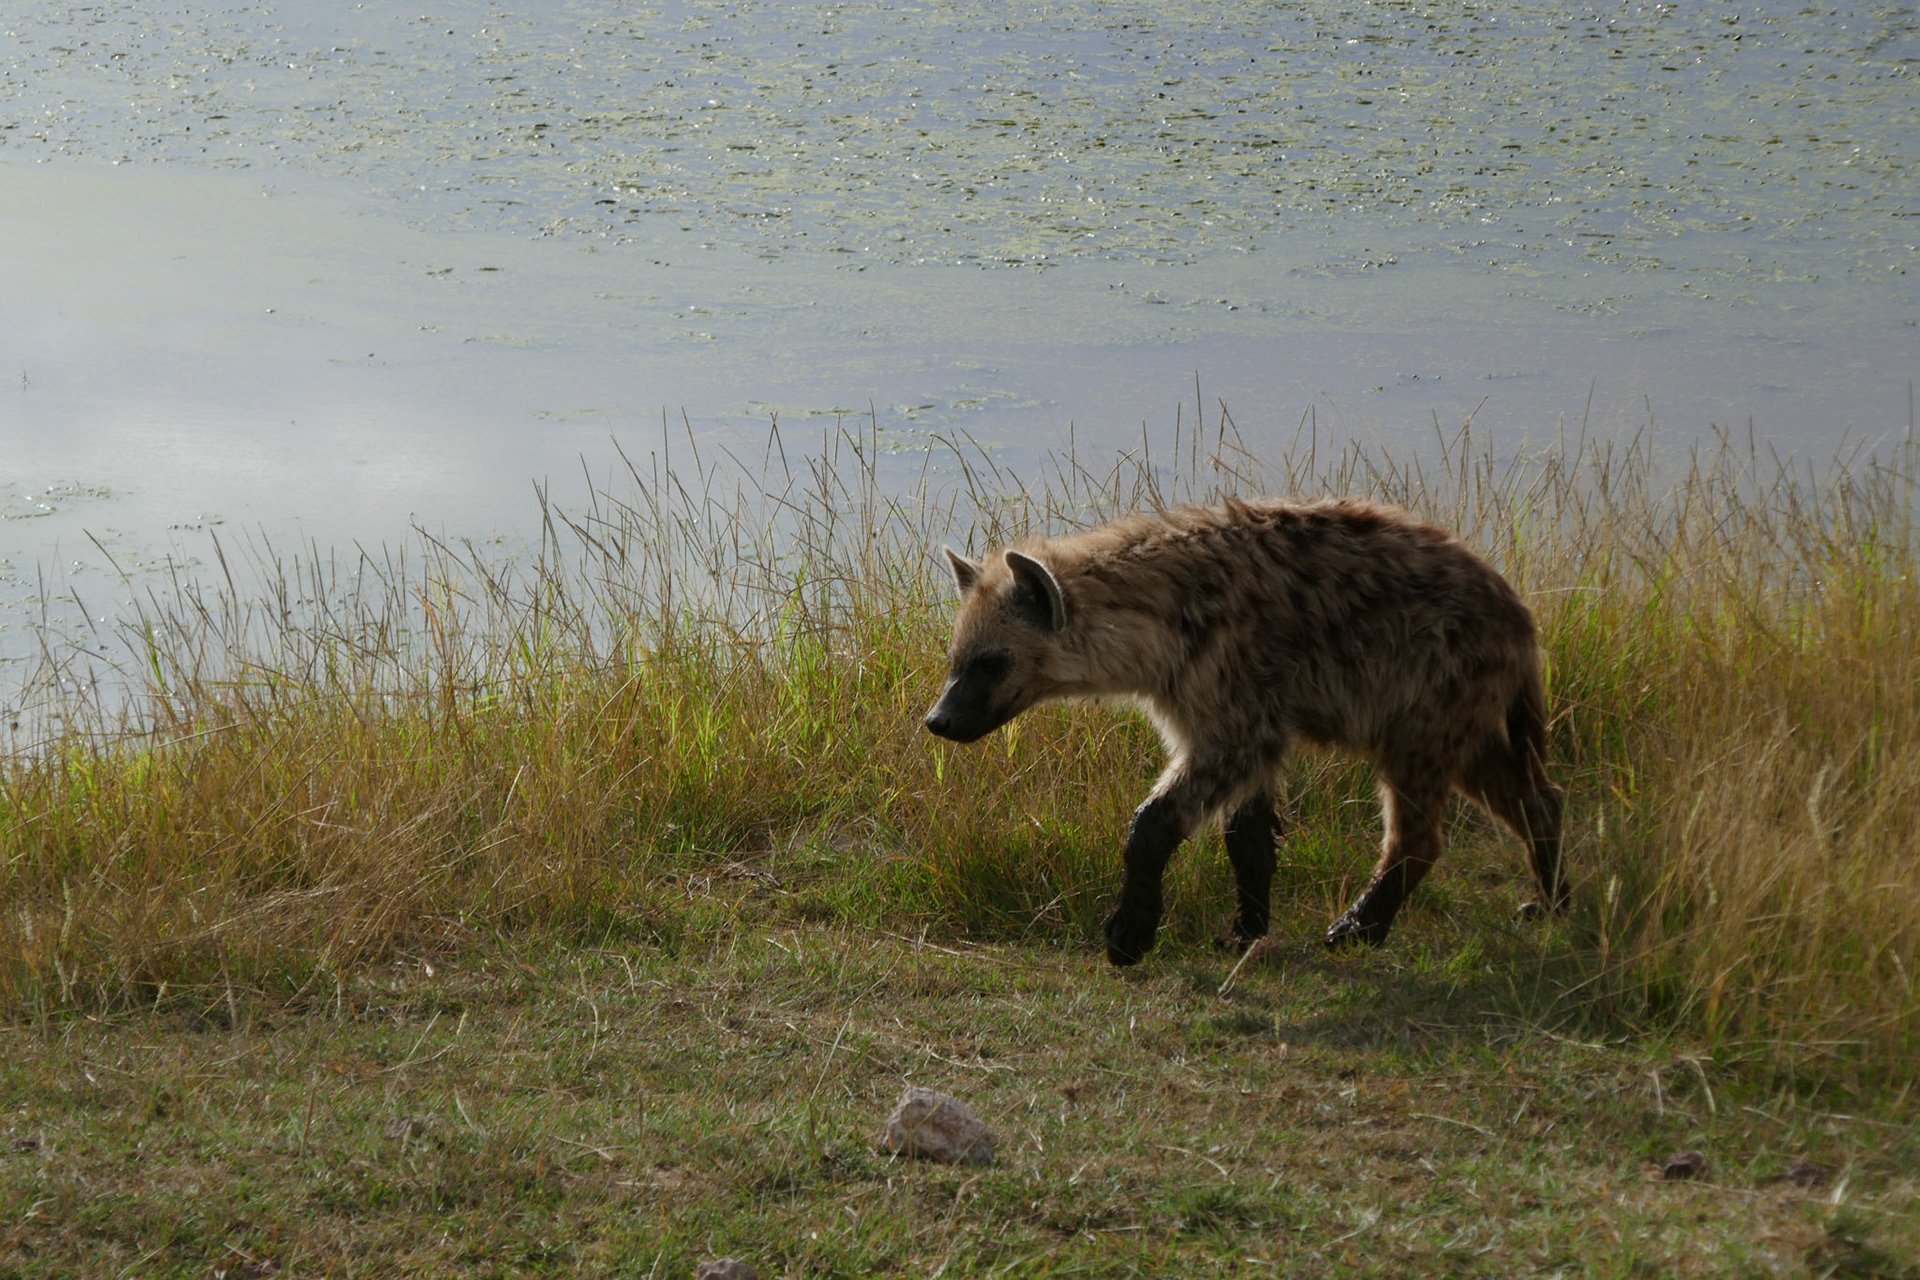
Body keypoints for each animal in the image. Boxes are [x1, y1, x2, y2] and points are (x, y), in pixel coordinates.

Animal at [922, 496, 1566, 966]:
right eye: (954, 659)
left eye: (991, 663)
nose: (938, 721)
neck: (1166, 623)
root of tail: (1521, 618)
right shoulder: (1234, 719)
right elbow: (1246, 839)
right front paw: (1243, 934)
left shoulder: (1236, 718)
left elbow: (1153, 823)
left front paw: (1128, 936)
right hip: (1462, 719)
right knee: (1536, 794)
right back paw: (1548, 902)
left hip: (1426, 708)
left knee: (1421, 833)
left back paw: (1355, 928)